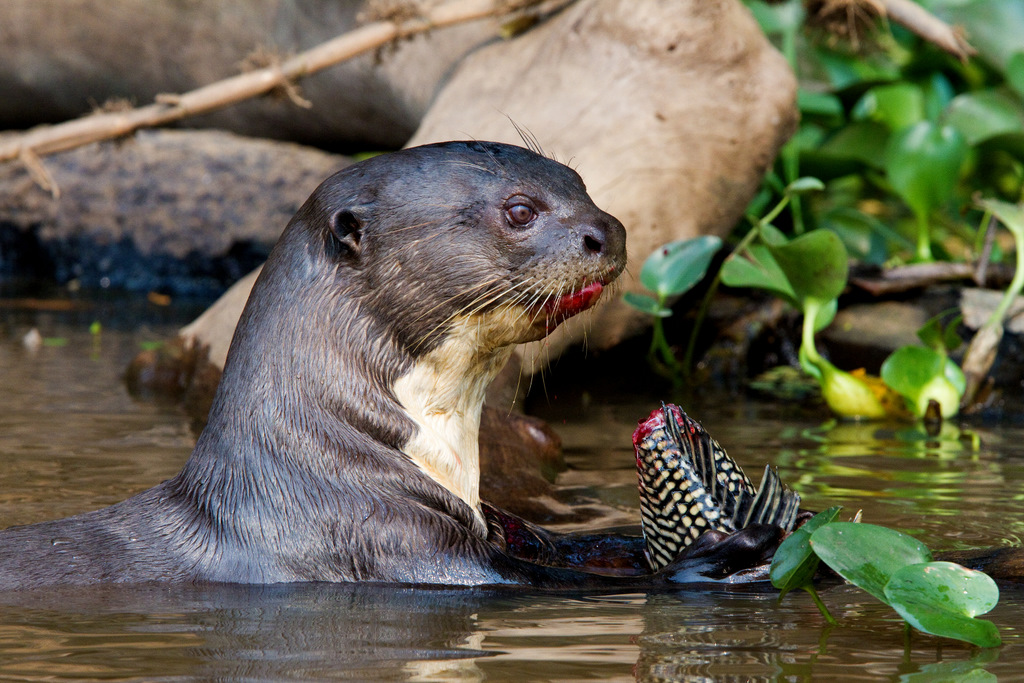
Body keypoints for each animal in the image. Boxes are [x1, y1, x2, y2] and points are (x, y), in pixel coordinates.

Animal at [0, 141, 782, 589]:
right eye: (520, 210)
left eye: (581, 182)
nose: (608, 230)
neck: (320, 464)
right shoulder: (388, 542)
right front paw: (716, 556)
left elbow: (573, 552)